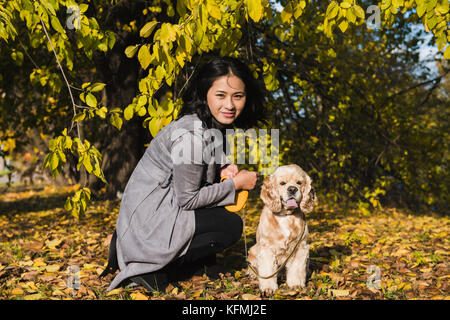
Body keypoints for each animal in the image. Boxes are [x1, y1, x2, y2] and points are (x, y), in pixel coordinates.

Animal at [248, 165, 318, 296]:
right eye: (282, 183)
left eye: (299, 182)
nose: (292, 189)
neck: (286, 216)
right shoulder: (267, 249)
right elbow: (267, 271)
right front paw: (268, 288)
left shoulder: (300, 248)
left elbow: (296, 269)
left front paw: (296, 285)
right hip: (253, 249)